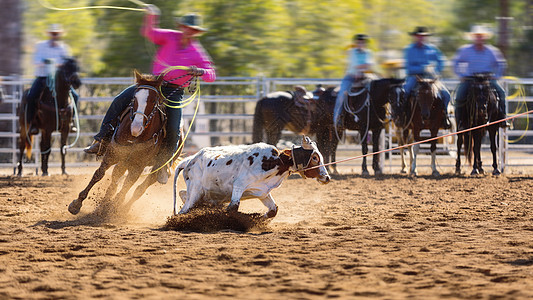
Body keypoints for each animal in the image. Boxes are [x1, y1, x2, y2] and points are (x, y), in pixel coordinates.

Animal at [68, 71, 182, 214]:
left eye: (153, 100)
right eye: (134, 98)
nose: (136, 128)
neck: (135, 137)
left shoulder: (139, 165)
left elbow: (128, 185)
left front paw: (115, 207)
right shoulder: (112, 154)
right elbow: (99, 174)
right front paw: (76, 204)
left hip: (153, 168)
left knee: (140, 188)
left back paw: (122, 207)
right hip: (124, 160)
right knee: (116, 177)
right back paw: (106, 201)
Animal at [171, 136, 328, 218]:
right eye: (315, 157)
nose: (326, 177)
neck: (275, 161)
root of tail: (190, 160)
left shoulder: (262, 192)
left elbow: (273, 210)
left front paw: (258, 218)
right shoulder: (239, 185)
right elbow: (233, 207)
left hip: (199, 192)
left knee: (183, 194)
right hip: (195, 189)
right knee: (183, 209)